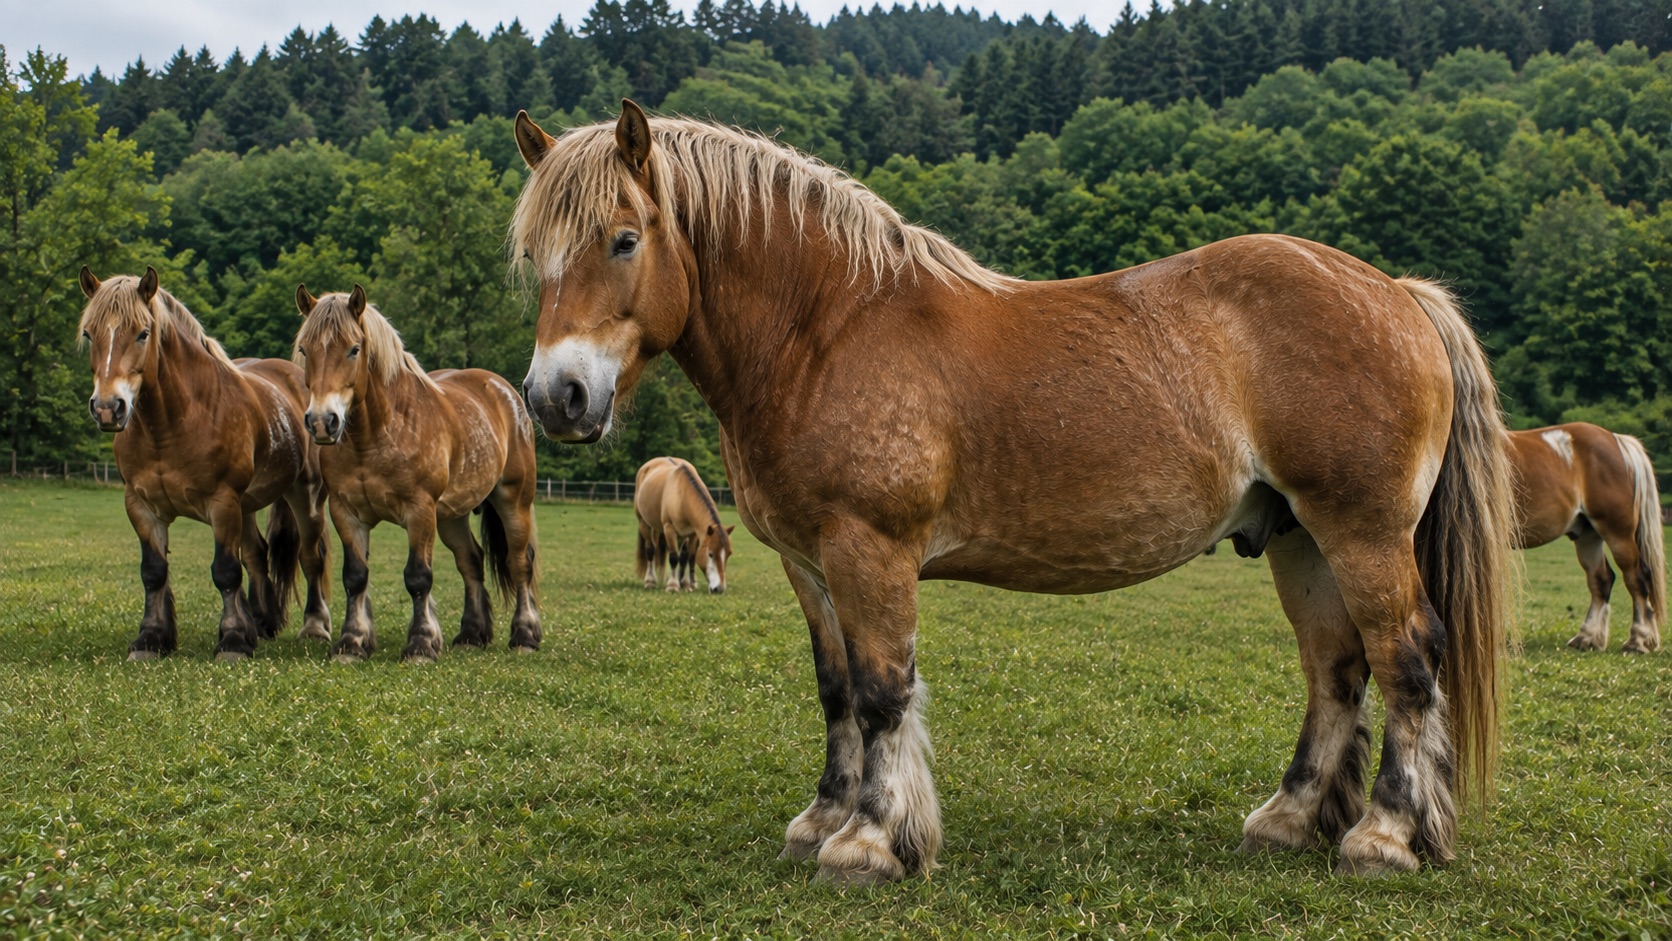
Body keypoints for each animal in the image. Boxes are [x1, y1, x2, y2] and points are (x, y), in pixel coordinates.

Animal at [77, 266, 332, 660]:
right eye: (89, 333)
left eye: (143, 333)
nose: (108, 408)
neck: (174, 421)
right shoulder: (141, 505)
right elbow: (154, 572)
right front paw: (151, 638)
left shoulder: (222, 502)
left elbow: (226, 570)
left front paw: (233, 641)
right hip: (247, 506)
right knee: (257, 554)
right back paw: (261, 623)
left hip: (304, 495)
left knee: (311, 556)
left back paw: (315, 628)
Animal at [292, 284, 542, 662]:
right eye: (305, 349)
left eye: (354, 349)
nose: (323, 421)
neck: (378, 433)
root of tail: (503, 390)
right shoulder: (346, 512)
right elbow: (355, 577)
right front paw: (352, 643)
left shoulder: (420, 511)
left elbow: (418, 577)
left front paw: (421, 644)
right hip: (453, 515)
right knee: (471, 561)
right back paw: (471, 634)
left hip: (514, 502)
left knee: (519, 562)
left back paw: (525, 636)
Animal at [634, 456, 735, 593]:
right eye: (710, 554)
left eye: (728, 554)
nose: (719, 588)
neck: (681, 494)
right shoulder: (669, 530)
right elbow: (673, 557)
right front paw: (673, 586)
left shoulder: (692, 534)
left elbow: (687, 557)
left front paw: (686, 584)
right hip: (644, 523)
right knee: (650, 550)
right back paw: (650, 581)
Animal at [1507, 423, 1664, 653]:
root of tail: (1616, 439)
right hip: (1588, 536)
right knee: (1601, 579)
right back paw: (1587, 638)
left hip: (1618, 535)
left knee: (1636, 578)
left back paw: (1637, 640)